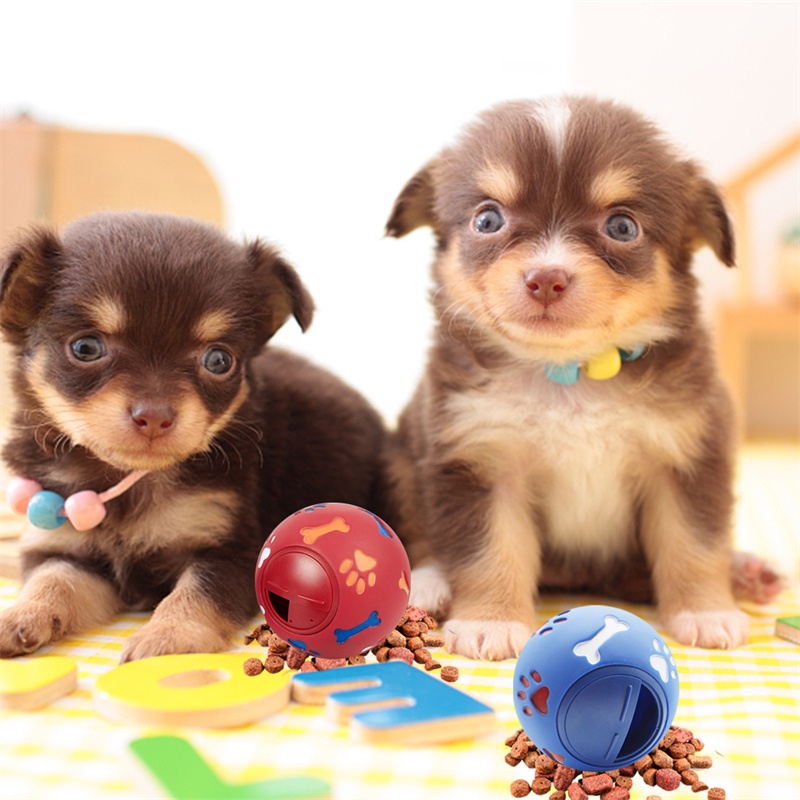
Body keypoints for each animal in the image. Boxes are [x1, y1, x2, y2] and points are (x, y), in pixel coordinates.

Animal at [0, 211, 388, 664]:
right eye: (85, 348)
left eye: (218, 360)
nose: (154, 416)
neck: (130, 479)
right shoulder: (66, 549)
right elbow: (51, 580)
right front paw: (21, 614)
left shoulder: (229, 550)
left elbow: (197, 592)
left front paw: (167, 634)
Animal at [388, 97, 780, 660]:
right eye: (488, 219)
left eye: (621, 227)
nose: (546, 278)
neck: (570, 373)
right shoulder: (481, 460)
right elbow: (489, 550)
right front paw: (491, 622)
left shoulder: (687, 454)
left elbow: (694, 543)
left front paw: (707, 613)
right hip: (402, 458)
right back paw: (428, 583)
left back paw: (749, 572)